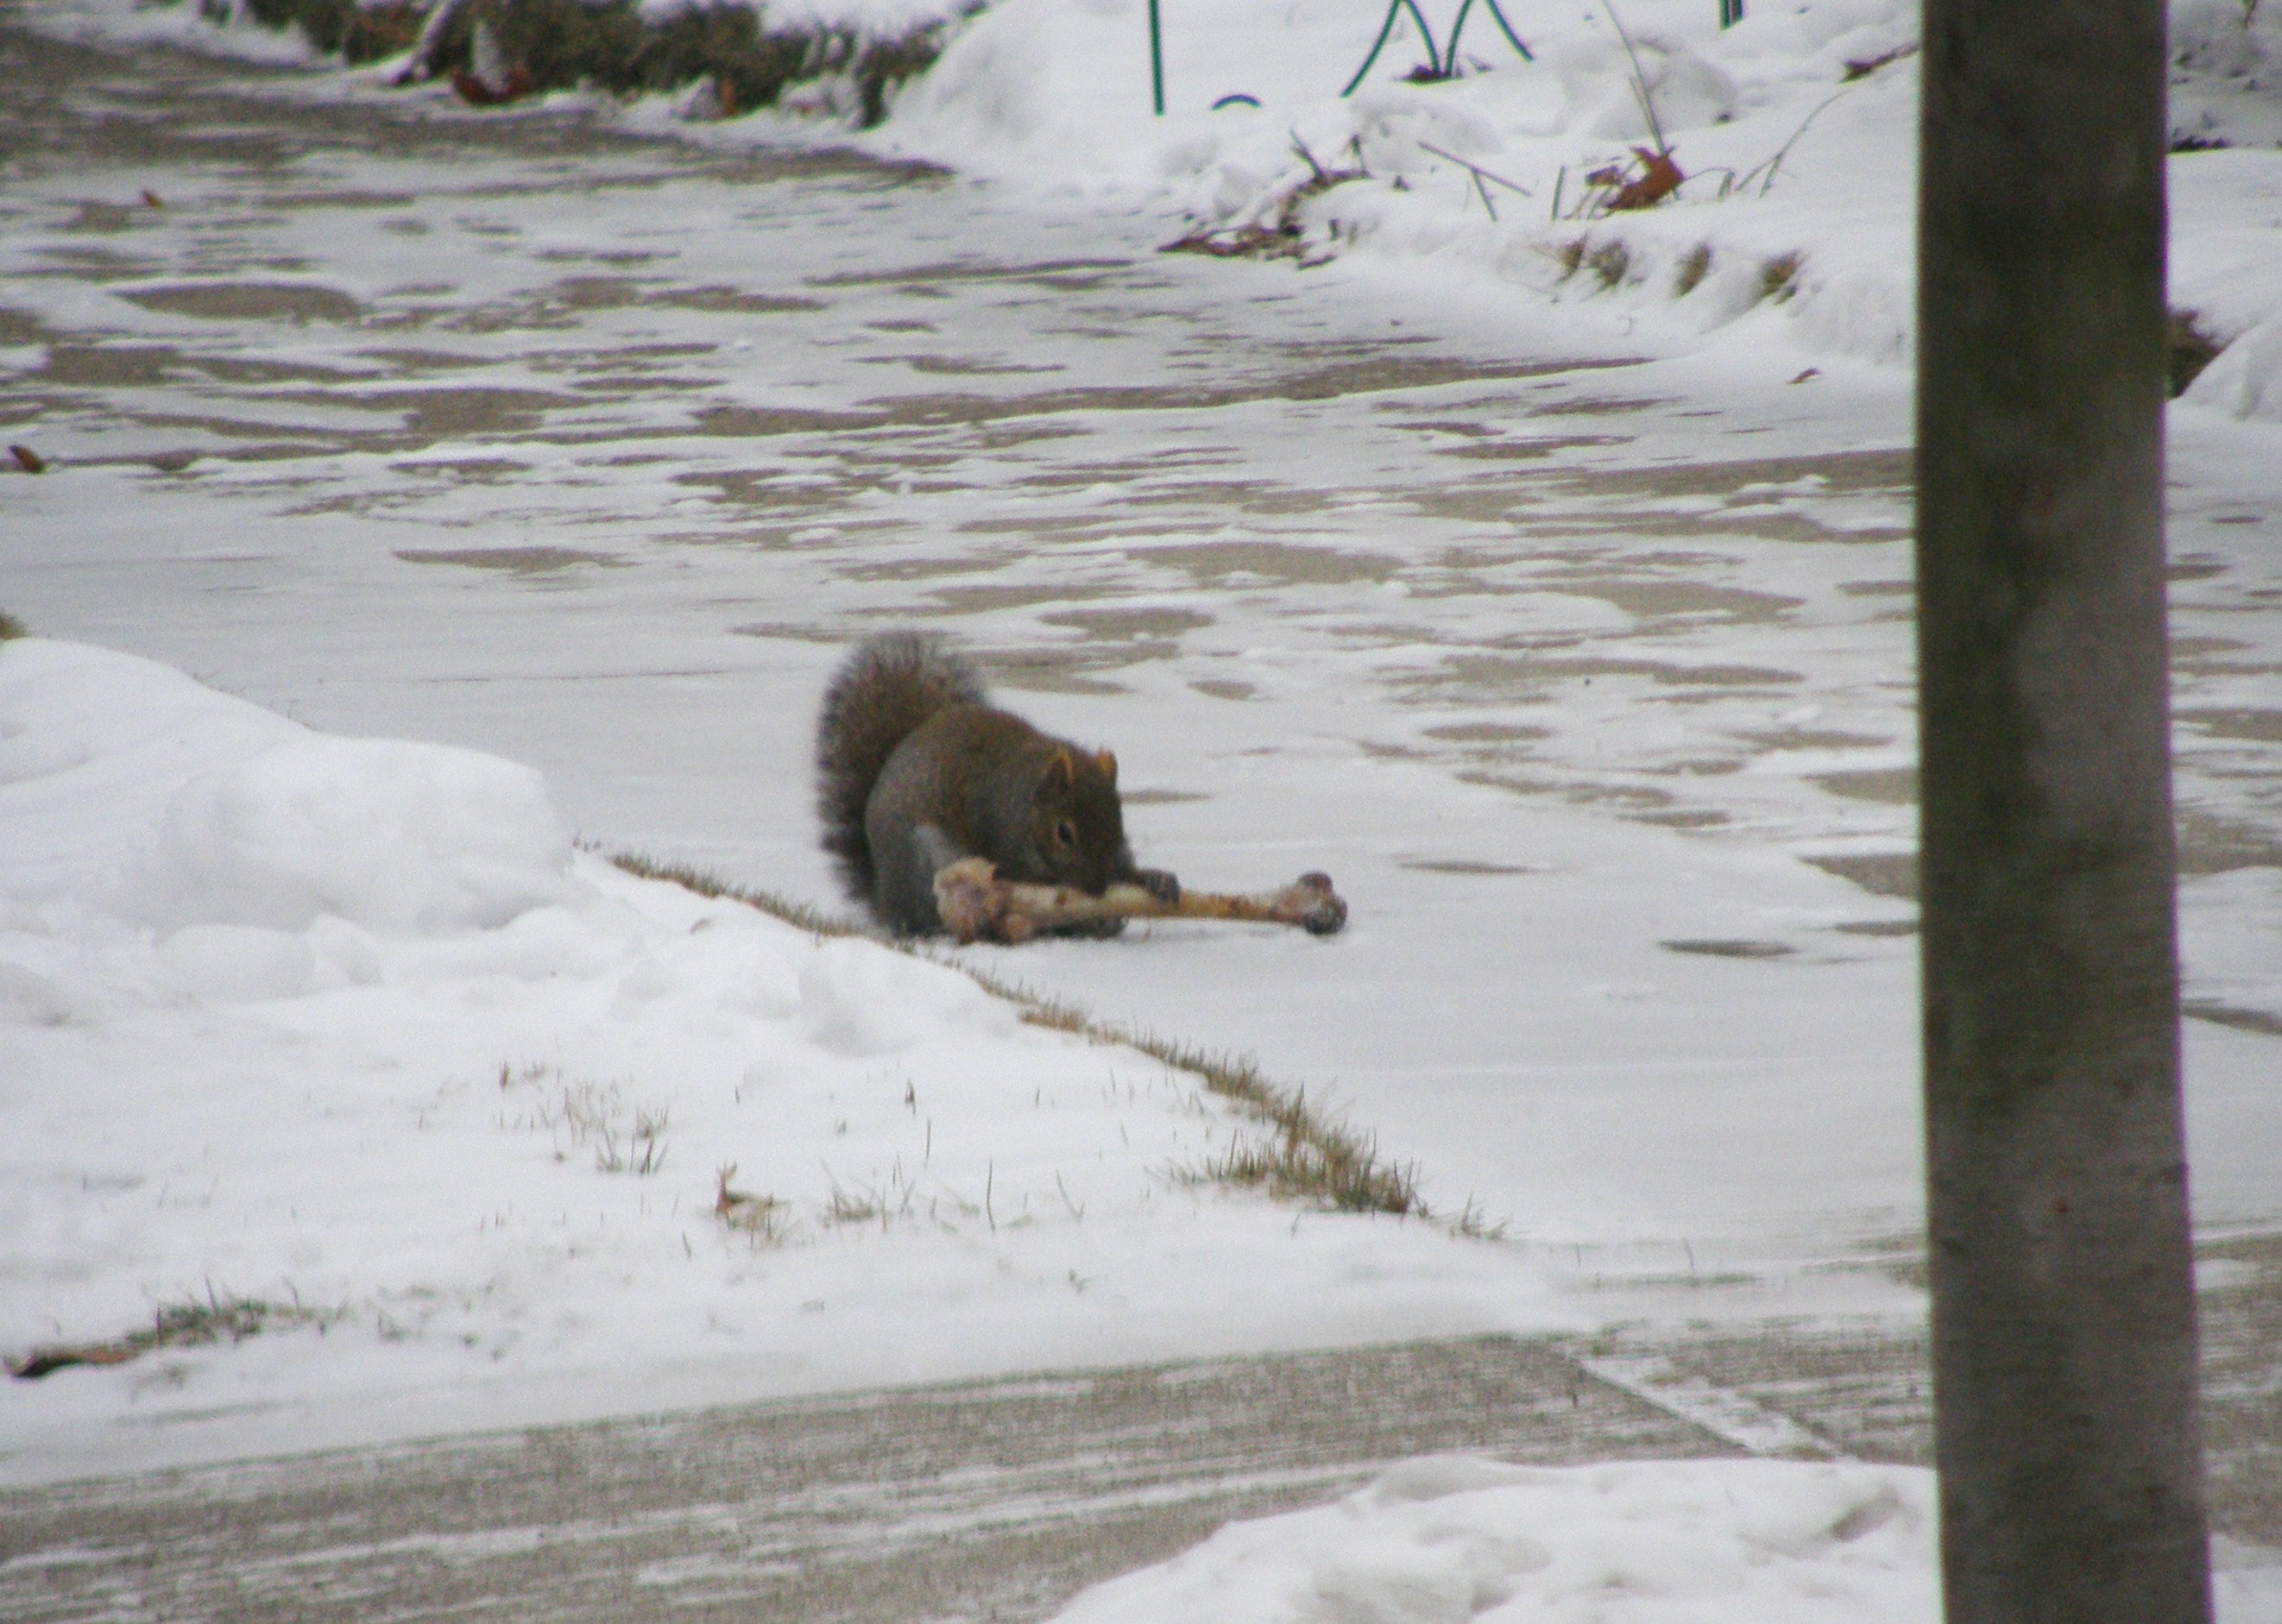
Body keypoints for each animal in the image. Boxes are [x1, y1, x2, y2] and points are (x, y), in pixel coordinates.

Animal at [815, 630, 1180, 937]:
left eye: (1119, 821)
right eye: (1064, 833)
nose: (1099, 889)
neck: (1022, 798)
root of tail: (884, 899)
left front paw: (1153, 879)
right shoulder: (995, 827)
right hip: (924, 858)